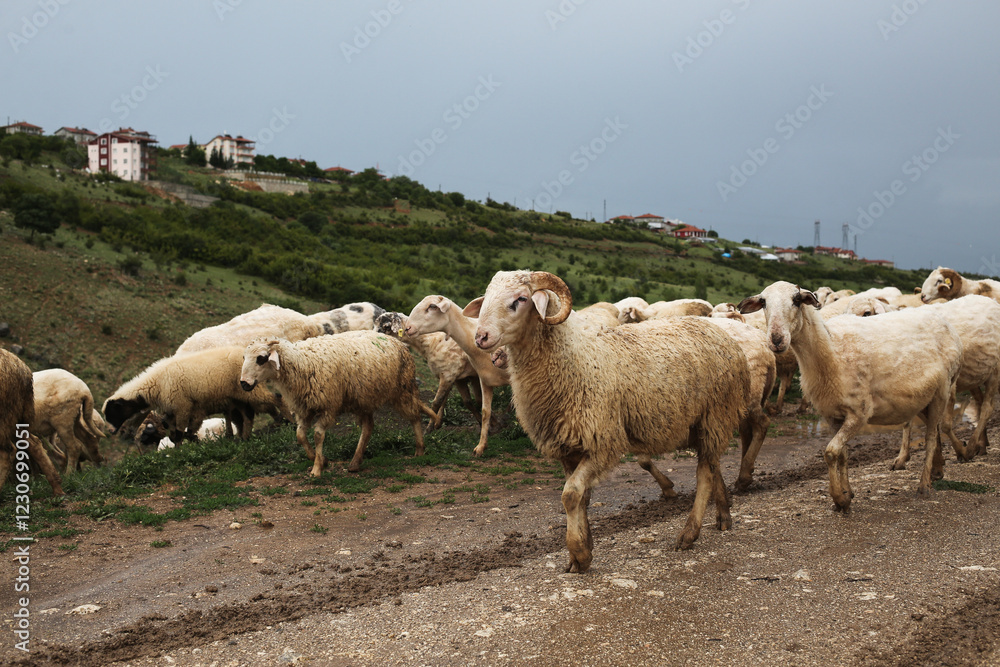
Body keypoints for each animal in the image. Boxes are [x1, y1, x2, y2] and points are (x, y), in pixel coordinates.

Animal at [0, 349, 64, 495]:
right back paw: (57, 488)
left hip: (6, 415)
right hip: (16, 416)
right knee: (34, 443)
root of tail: (24, 371)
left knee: (8, 451)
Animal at [104, 346, 288, 442]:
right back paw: (244, 437)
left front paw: (180, 451)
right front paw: (192, 441)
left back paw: (284, 421)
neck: (156, 384)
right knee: (247, 415)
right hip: (239, 396)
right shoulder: (177, 410)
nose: (111, 431)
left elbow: (179, 433)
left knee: (276, 399)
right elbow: (177, 432)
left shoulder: (182, 405)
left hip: (249, 391)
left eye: (112, 413)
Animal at [240, 332, 439, 476]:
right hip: (364, 399)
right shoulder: (305, 408)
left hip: (402, 390)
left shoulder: (329, 406)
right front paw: (319, 459)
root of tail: (399, 343)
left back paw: (419, 449)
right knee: (368, 428)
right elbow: (300, 435)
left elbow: (318, 435)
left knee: (414, 415)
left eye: (261, 358)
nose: (244, 383)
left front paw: (317, 468)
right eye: (244, 357)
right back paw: (355, 462)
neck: (303, 362)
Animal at [467, 271, 750, 573]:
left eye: (520, 299)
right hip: (701, 423)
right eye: (486, 297)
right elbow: (582, 499)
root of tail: (724, 336)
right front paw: (581, 553)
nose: (481, 337)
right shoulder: (569, 448)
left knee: (705, 473)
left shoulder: (603, 442)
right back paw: (724, 516)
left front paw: (579, 552)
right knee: (713, 464)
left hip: (715, 414)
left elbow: (570, 495)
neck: (575, 359)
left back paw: (689, 534)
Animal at [738, 281, 963, 511]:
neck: (832, 351)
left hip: (942, 391)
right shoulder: (832, 415)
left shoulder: (859, 413)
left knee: (931, 437)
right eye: (763, 302)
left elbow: (830, 452)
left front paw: (839, 498)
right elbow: (842, 454)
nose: (776, 340)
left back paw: (924, 484)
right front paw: (847, 493)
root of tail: (945, 323)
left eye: (797, 300)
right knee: (934, 430)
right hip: (923, 399)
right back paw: (938, 469)